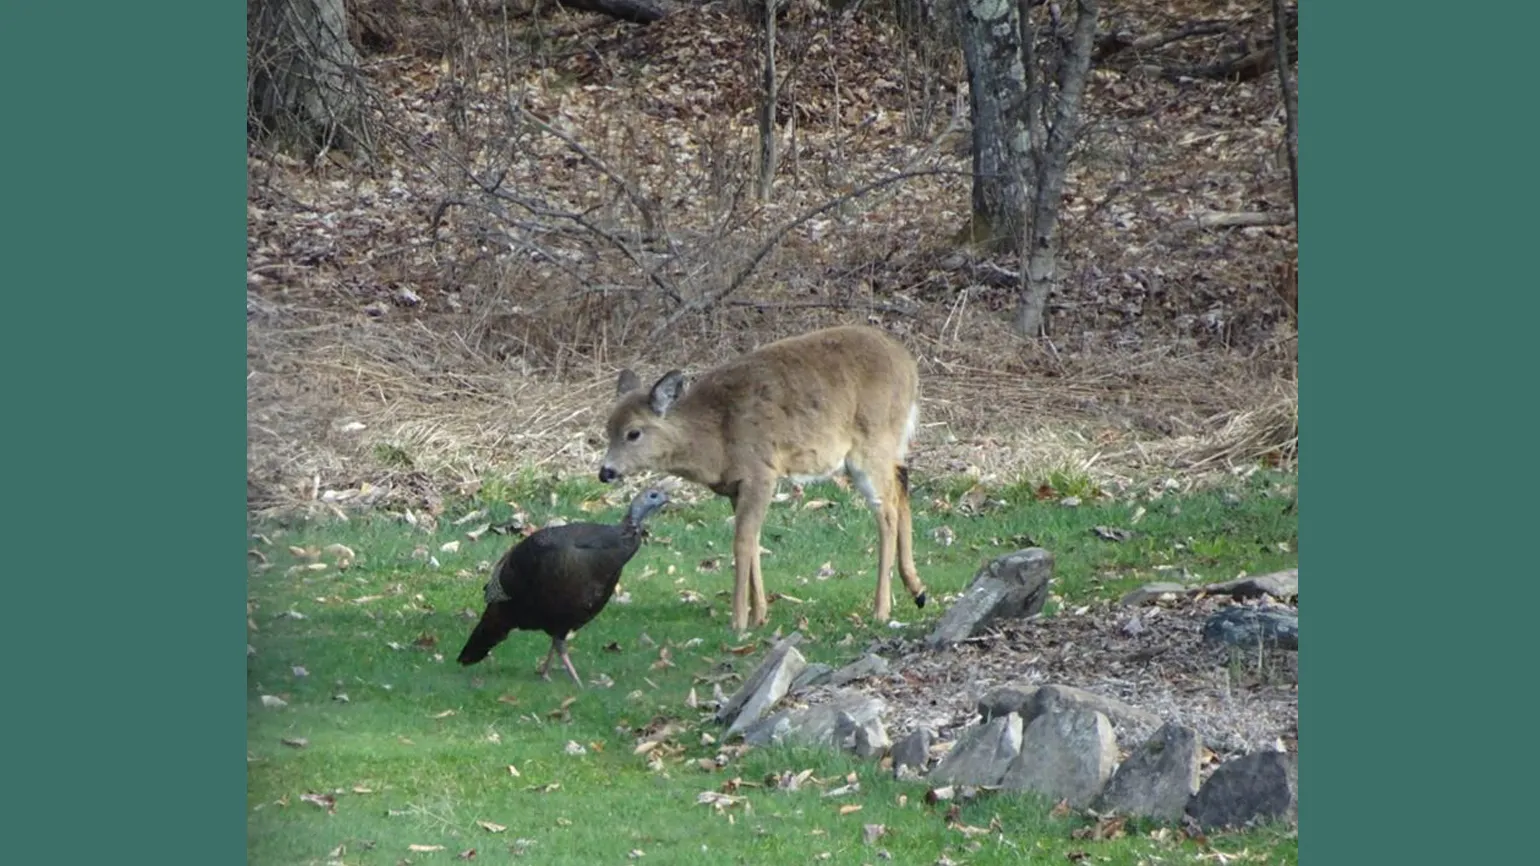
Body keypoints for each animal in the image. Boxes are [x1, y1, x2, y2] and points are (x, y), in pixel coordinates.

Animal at [594, 322, 924, 625]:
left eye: (633, 433)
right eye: (608, 428)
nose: (606, 472)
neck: (715, 438)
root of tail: (909, 366)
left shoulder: (761, 471)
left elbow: (742, 543)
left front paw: (739, 621)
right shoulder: (736, 486)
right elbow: (753, 541)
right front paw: (759, 615)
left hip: (871, 443)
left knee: (886, 513)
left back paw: (881, 609)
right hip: (888, 446)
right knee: (902, 485)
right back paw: (917, 591)